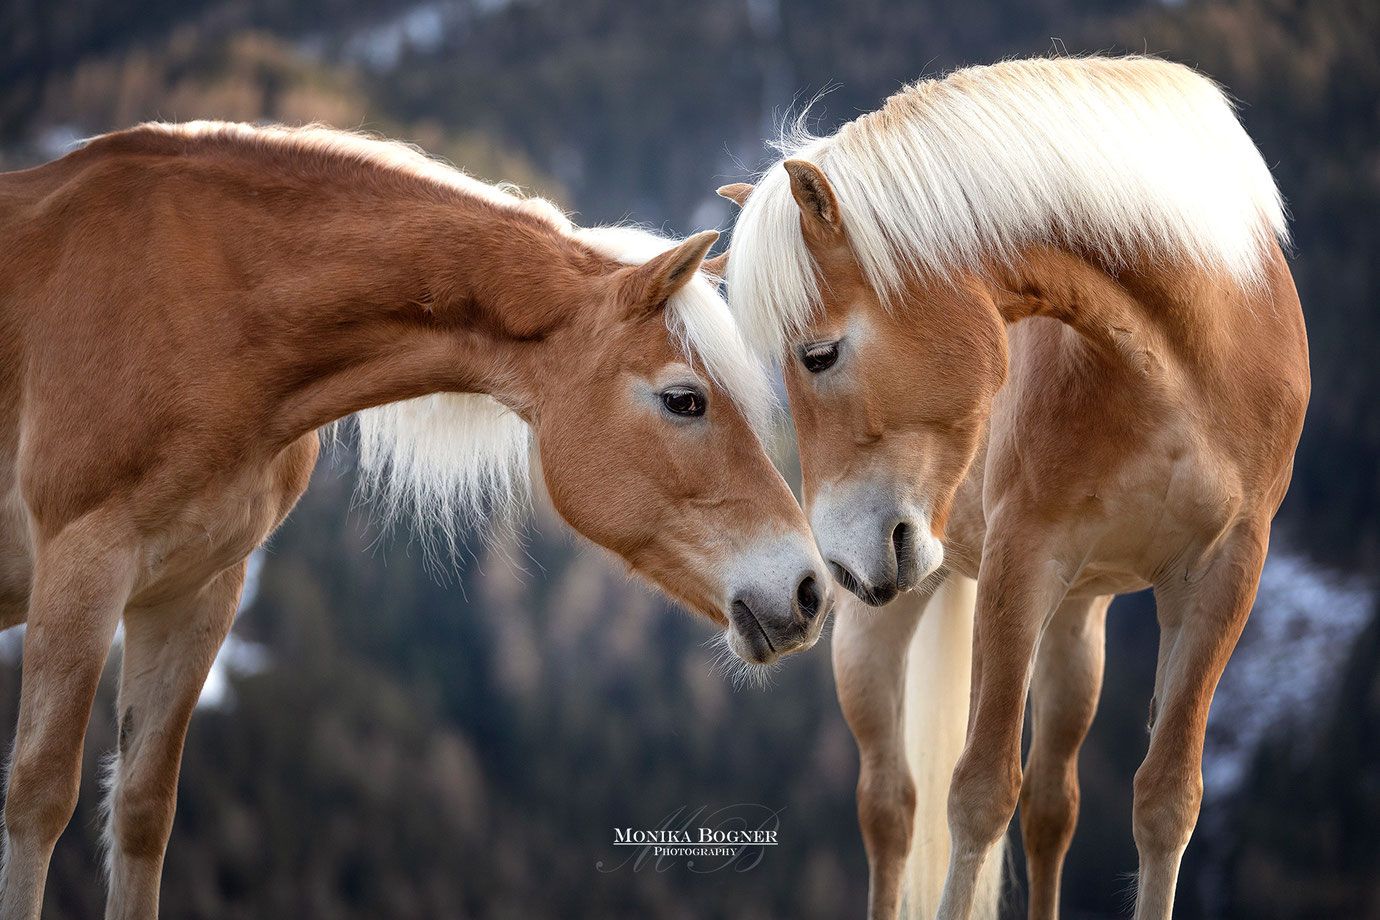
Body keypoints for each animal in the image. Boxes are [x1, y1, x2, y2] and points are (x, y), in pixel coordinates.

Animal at [0, 121, 833, 919]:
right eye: (684, 400)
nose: (808, 591)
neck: (203, 307)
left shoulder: (195, 591)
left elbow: (141, 813)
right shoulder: (85, 565)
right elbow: (38, 798)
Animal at [717, 56, 1308, 919]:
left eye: (818, 356)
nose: (844, 561)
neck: (1183, 357)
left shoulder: (1225, 572)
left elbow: (1167, 801)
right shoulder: (1022, 560)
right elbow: (977, 795)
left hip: (1077, 622)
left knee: (1053, 804)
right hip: (885, 628)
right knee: (891, 807)